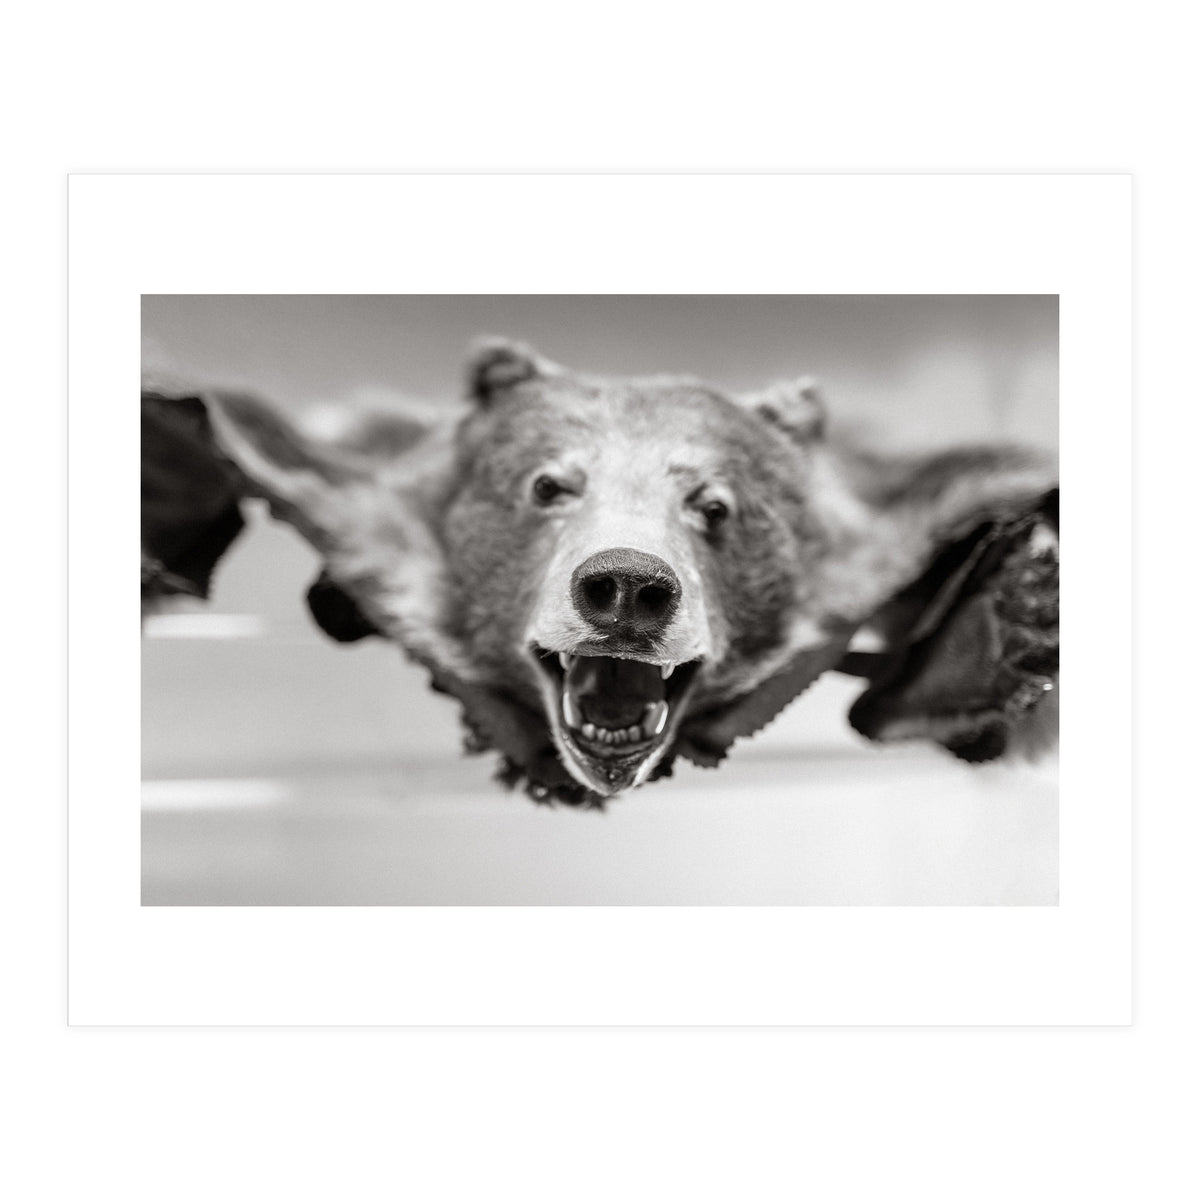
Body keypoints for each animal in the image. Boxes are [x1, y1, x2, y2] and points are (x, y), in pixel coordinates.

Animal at [143, 339, 1059, 807]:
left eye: (714, 504)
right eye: (548, 485)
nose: (626, 586)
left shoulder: (897, 526)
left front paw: (1021, 620)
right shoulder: (344, 501)